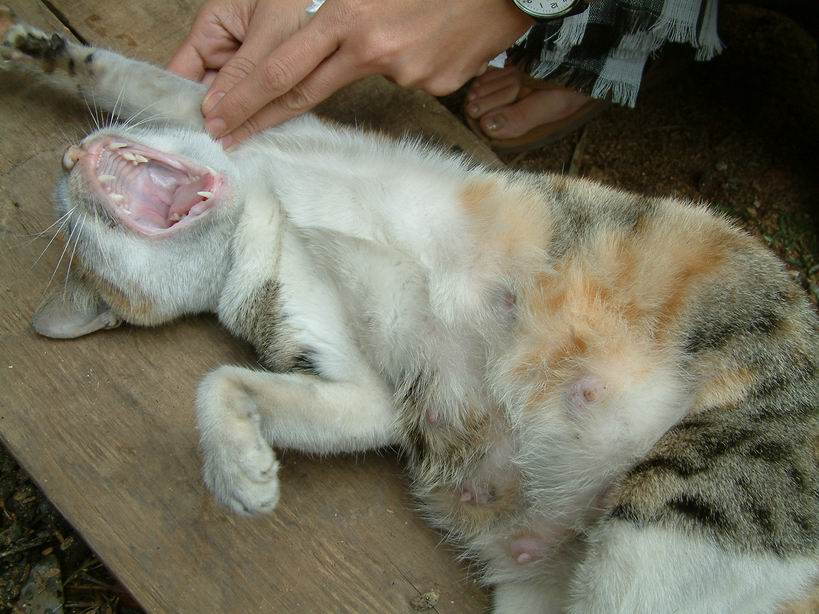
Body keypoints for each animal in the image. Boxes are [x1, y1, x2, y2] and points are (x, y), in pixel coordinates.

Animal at [2, 9, 817, 613]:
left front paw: (32, 46)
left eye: (72, 220)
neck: (257, 215)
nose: (69, 161)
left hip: (674, 509)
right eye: (80, 241)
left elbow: (155, 84)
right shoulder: (364, 389)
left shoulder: (257, 125)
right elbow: (229, 384)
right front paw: (242, 468)